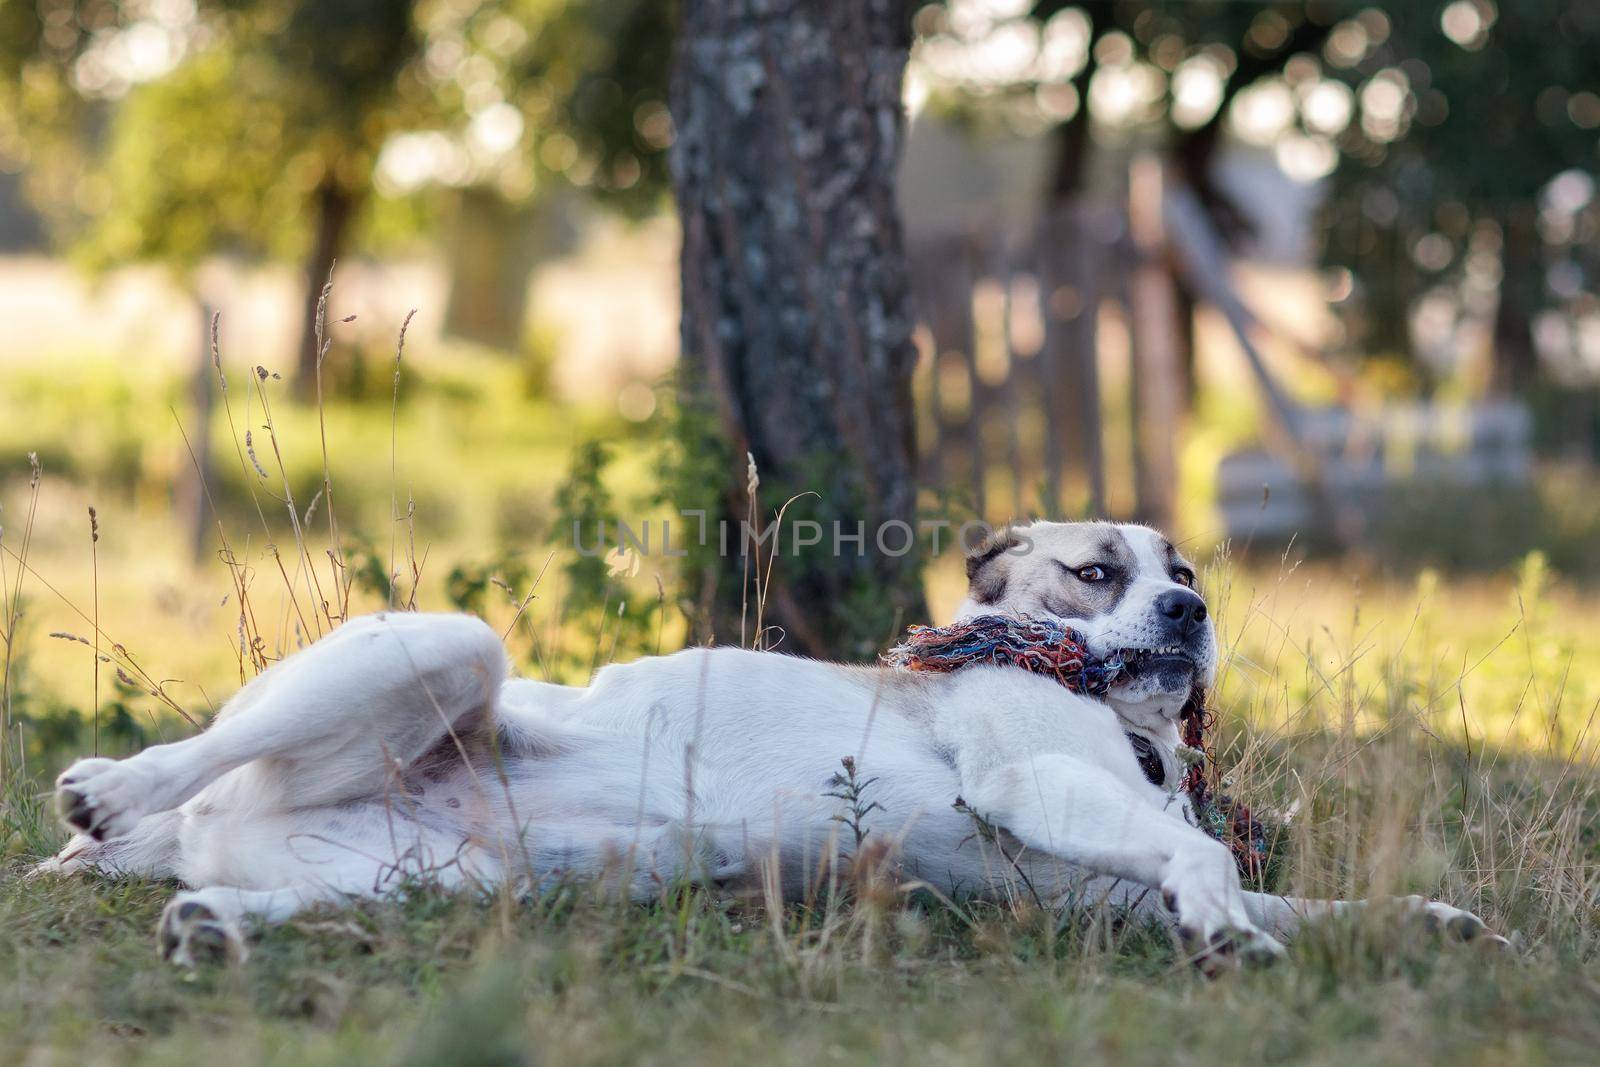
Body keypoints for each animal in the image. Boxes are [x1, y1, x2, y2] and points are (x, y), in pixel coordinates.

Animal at [37, 524, 1497, 966]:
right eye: (1101, 570)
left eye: (1187, 570)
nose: (1192, 611)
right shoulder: (1035, 778)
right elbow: (1206, 864)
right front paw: (1223, 923)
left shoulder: (1100, 892)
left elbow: (1305, 900)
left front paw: (1429, 920)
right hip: (441, 645)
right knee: (194, 745)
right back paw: (107, 795)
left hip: (436, 878)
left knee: (279, 891)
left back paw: (216, 921)